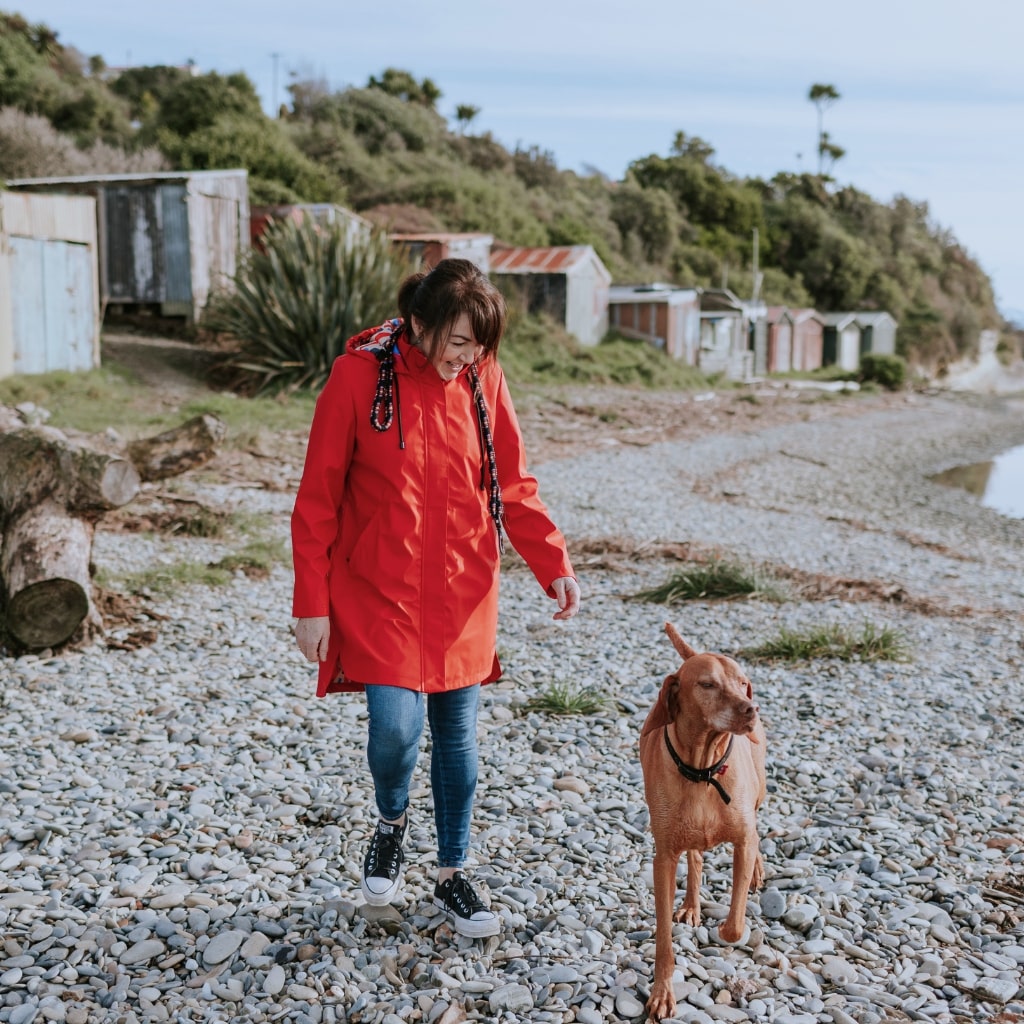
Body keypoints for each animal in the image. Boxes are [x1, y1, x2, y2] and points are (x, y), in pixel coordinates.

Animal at [634, 618, 765, 1019]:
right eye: (707, 684)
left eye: (742, 682)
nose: (751, 708)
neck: (703, 768)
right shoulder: (663, 857)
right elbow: (663, 939)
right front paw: (662, 992)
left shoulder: (742, 839)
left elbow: (735, 924)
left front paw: (726, 930)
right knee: (695, 857)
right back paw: (692, 904)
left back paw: (757, 871)